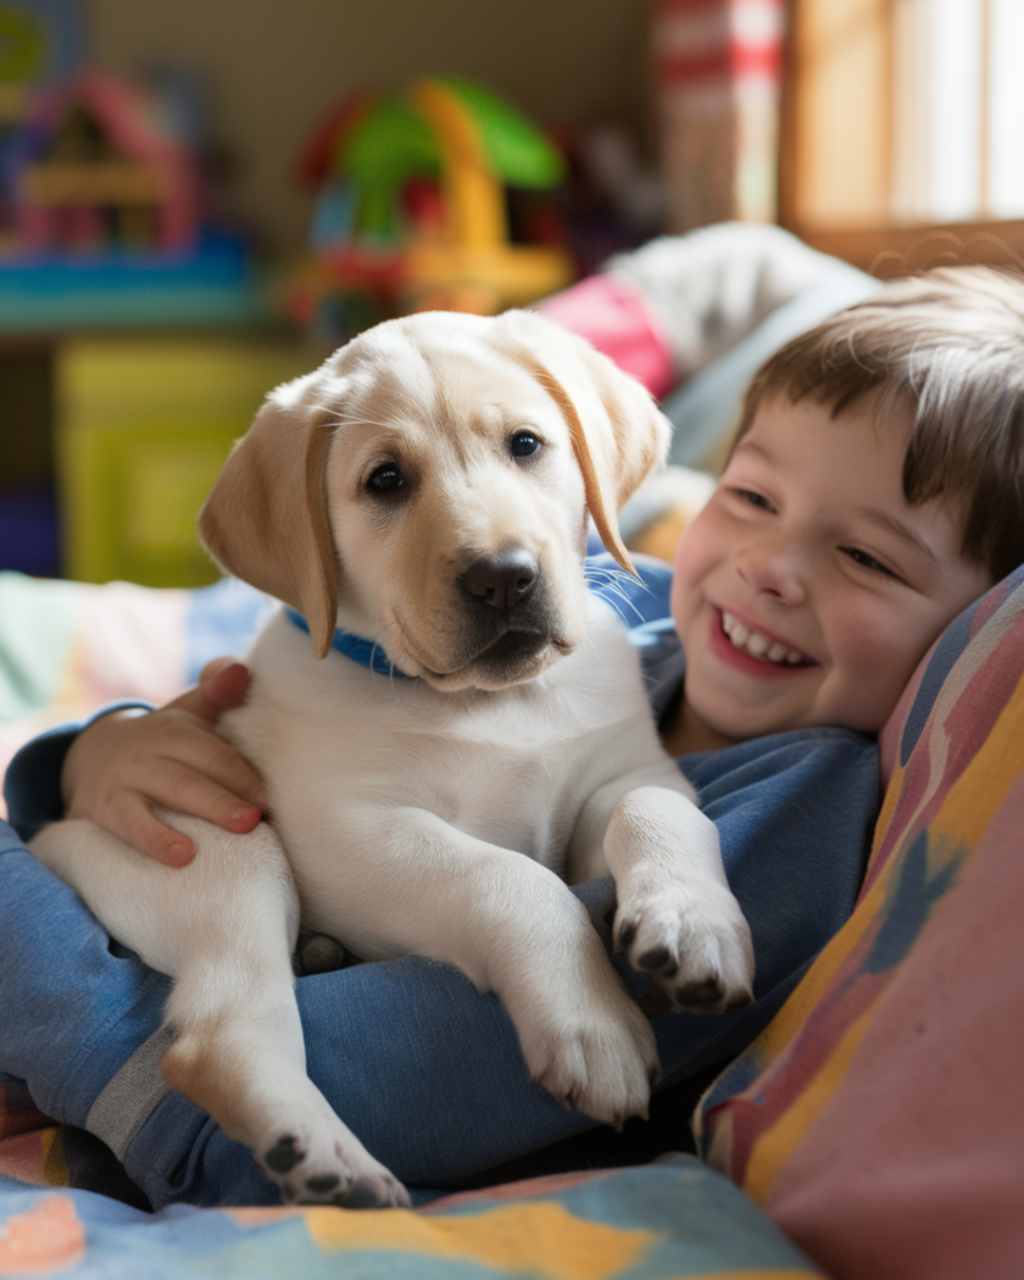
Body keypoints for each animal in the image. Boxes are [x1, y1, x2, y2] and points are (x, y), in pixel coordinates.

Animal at [30, 309, 752, 1208]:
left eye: (525, 444)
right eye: (384, 482)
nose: (504, 579)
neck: (490, 703)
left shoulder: (628, 773)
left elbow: (655, 811)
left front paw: (693, 926)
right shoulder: (353, 835)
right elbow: (511, 879)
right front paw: (591, 1023)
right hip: (219, 837)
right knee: (219, 1029)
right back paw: (329, 1160)